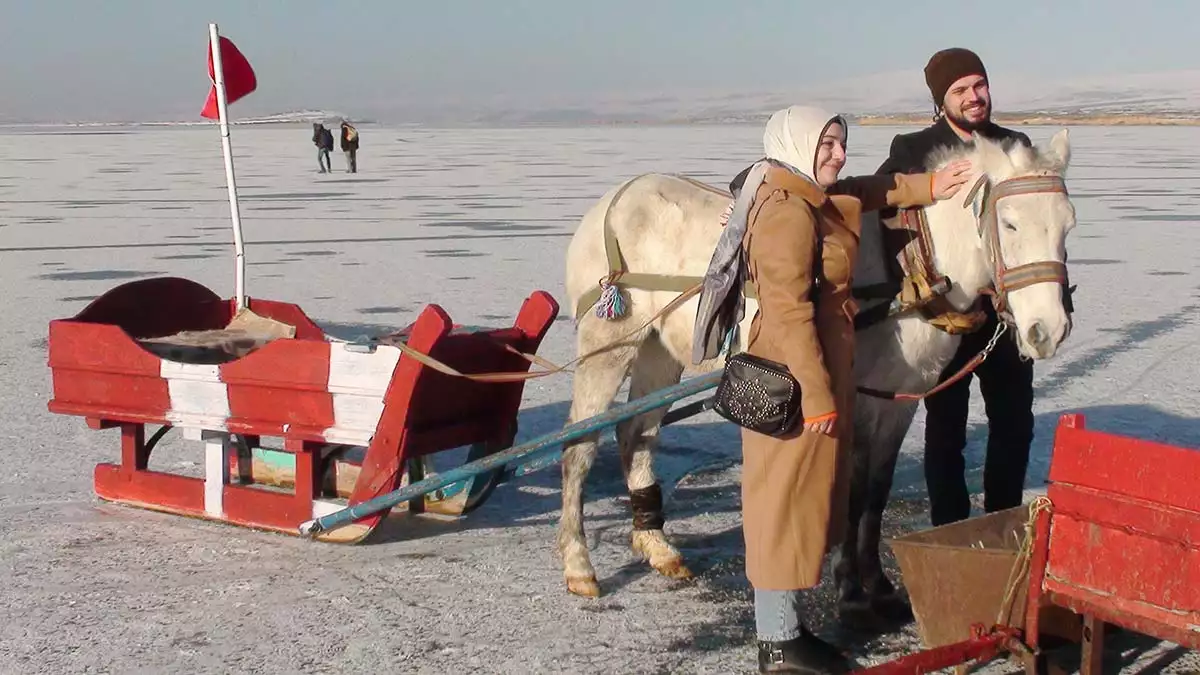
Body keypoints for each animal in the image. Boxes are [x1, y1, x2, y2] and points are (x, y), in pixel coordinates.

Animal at [556, 127, 1075, 610]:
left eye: (1067, 225)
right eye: (1009, 224)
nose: (1047, 330)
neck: (907, 272)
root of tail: (616, 197)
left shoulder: (900, 400)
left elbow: (877, 491)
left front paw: (878, 582)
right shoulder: (858, 397)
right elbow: (853, 491)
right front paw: (848, 583)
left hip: (660, 351)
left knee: (636, 434)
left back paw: (657, 546)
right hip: (608, 343)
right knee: (579, 446)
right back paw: (579, 564)